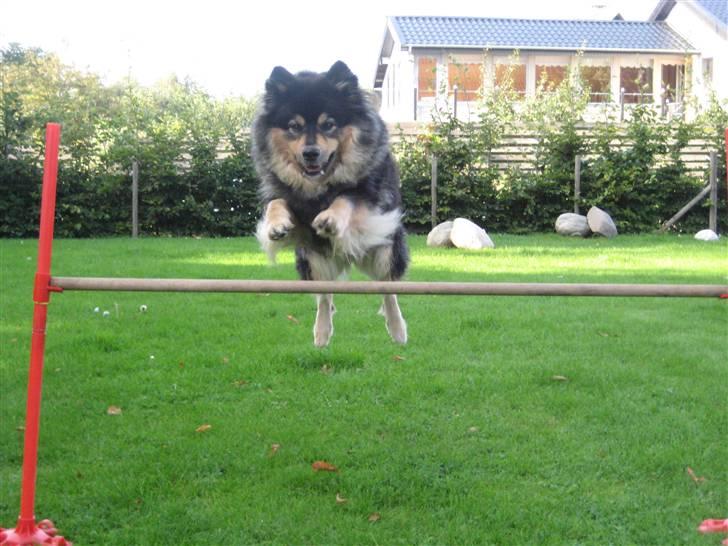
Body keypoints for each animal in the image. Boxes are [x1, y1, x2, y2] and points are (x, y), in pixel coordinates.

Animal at [252, 60, 410, 344]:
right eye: (294, 126)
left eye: (328, 124)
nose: (310, 153)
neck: (319, 184)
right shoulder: (289, 200)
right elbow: (276, 202)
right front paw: (276, 226)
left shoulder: (366, 196)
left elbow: (345, 198)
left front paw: (329, 218)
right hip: (311, 260)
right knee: (325, 296)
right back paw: (322, 333)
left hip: (385, 252)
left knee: (387, 289)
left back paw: (397, 329)